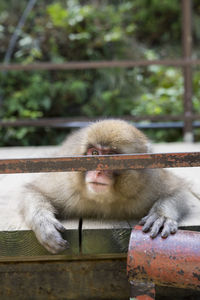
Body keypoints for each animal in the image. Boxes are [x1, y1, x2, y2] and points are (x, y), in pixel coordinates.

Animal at [19, 119, 199, 253]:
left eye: (111, 157)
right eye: (94, 153)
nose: (98, 171)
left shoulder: (149, 183)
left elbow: (179, 190)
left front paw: (162, 216)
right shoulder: (66, 186)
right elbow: (33, 190)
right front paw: (44, 224)